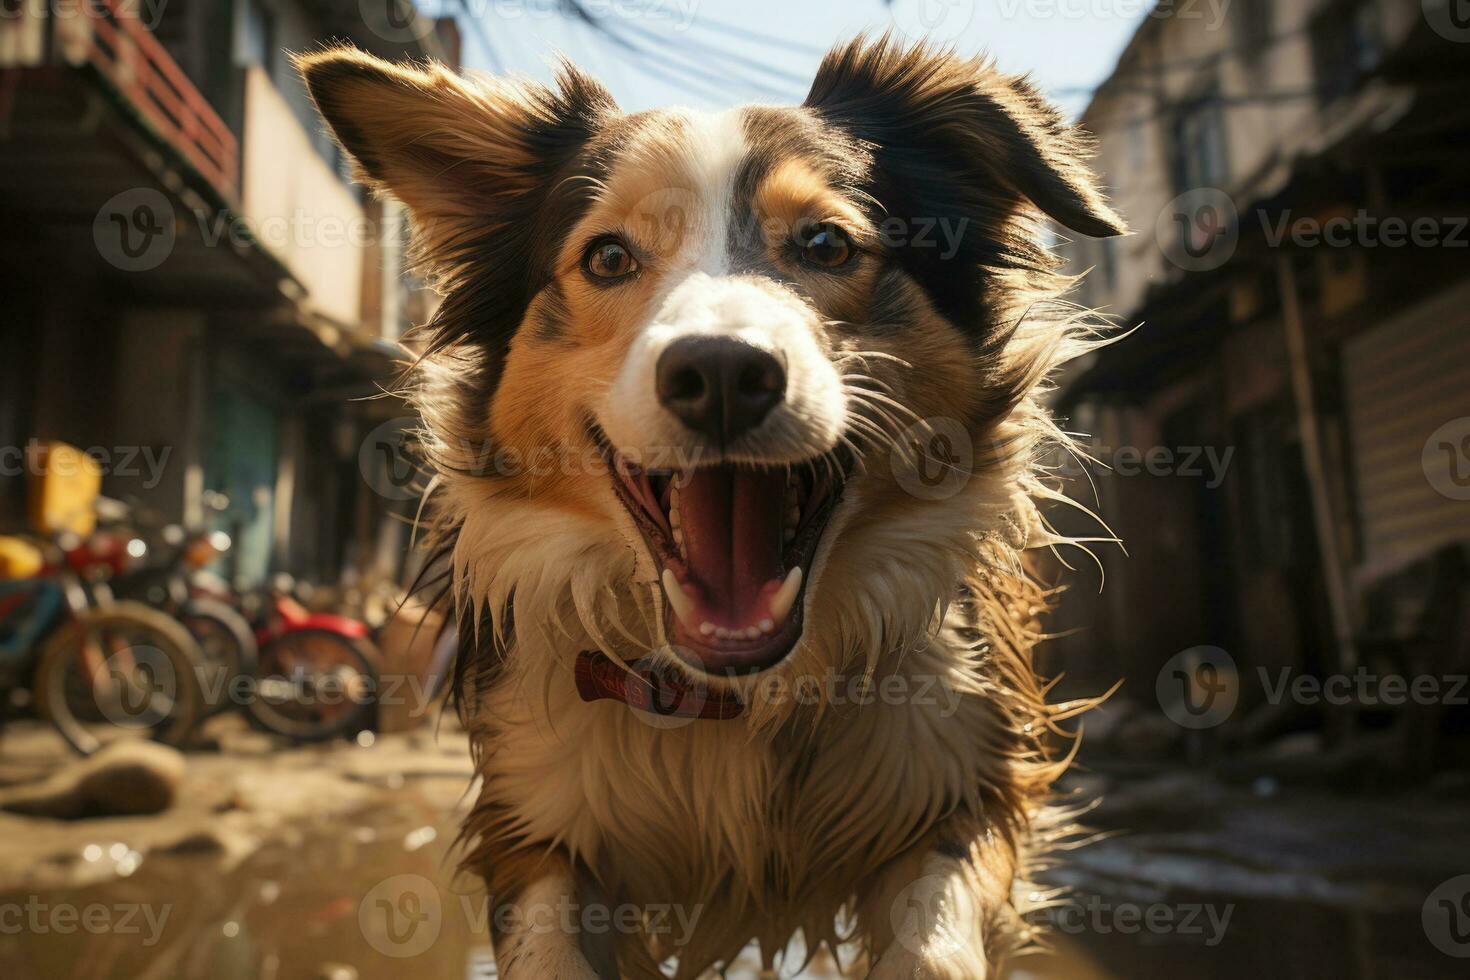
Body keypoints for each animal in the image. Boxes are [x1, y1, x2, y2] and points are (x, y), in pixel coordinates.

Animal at [301, 34, 1123, 975]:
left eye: (827, 244)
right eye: (608, 257)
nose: (724, 373)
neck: (729, 699)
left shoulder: (964, 779)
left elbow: (934, 940)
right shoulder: (534, 818)